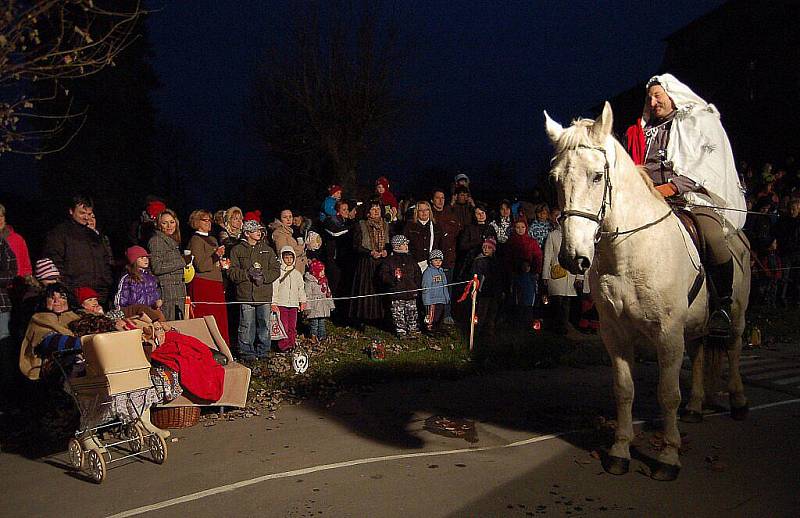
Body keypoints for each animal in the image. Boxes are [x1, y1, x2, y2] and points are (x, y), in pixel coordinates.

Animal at [544, 102, 752, 484]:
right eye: (555, 180)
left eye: (597, 176)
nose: (571, 257)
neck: (629, 254)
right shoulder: (615, 334)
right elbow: (624, 391)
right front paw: (620, 451)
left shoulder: (667, 333)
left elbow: (667, 394)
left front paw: (668, 456)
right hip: (695, 325)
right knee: (700, 351)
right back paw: (696, 407)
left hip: (737, 314)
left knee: (731, 348)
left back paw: (739, 401)